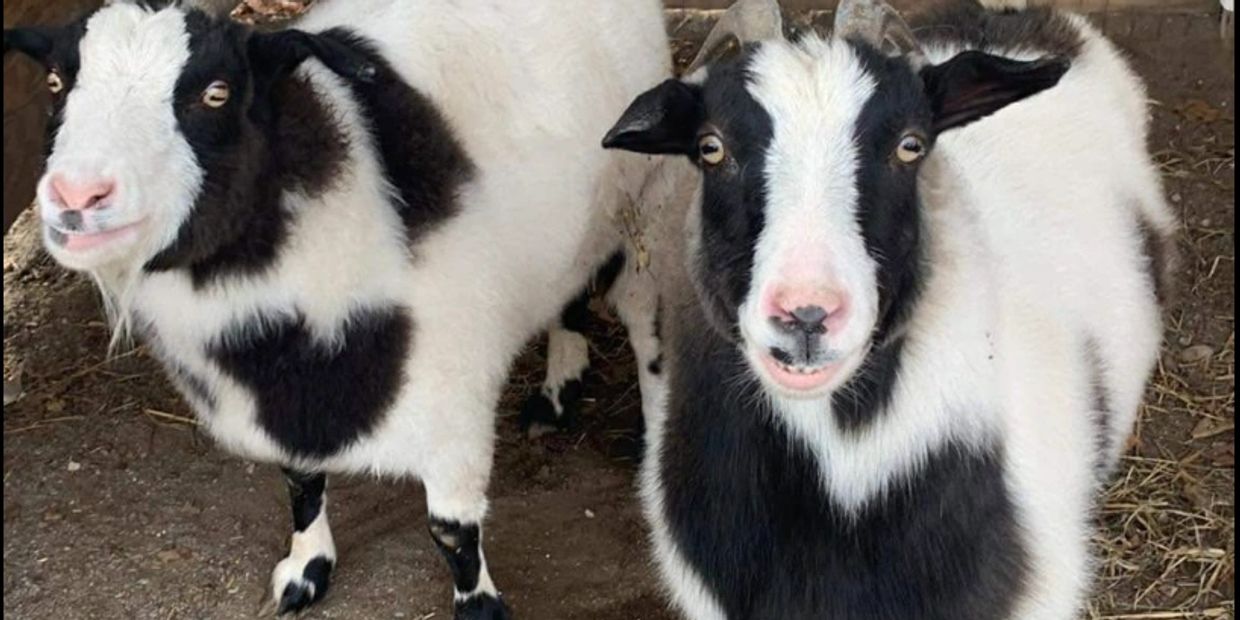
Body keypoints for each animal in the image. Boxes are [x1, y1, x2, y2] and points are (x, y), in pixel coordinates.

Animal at [3, 0, 669, 616]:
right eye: (56, 83)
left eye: (217, 94)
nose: (76, 196)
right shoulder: (292, 401)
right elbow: (300, 485)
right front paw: (305, 571)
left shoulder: (453, 390)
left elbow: (452, 530)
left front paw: (479, 605)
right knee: (570, 296)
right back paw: (556, 397)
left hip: (641, 216)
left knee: (646, 329)